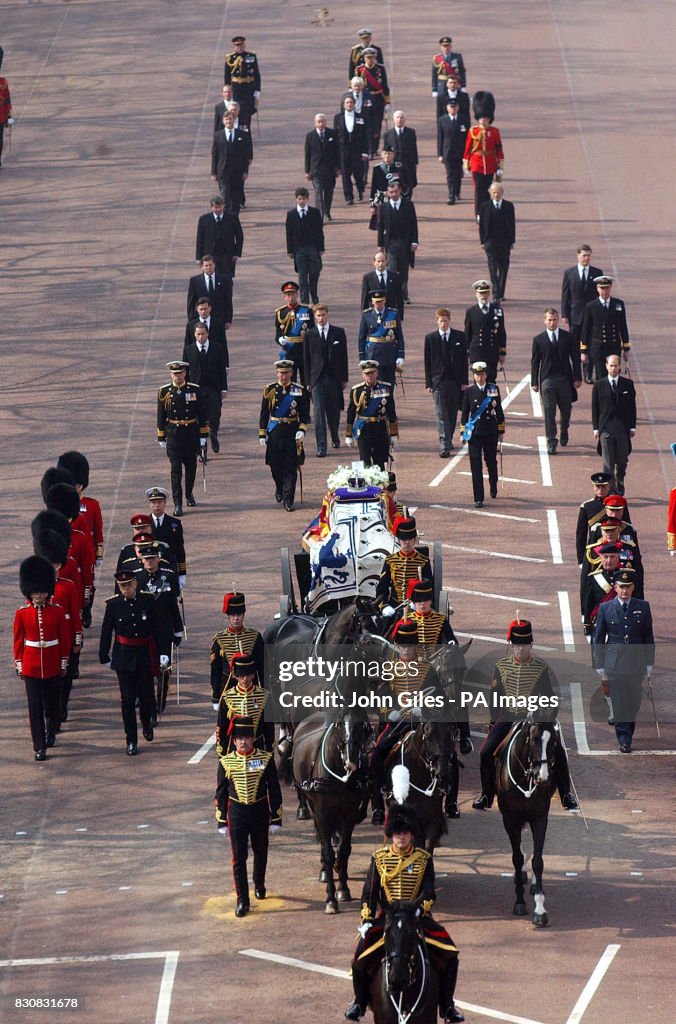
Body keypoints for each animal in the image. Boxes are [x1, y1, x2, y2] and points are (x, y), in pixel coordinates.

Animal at [292, 708, 372, 917]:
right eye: (339, 724)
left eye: (361, 723)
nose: (351, 761)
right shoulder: (321, 811)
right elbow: (328, 852)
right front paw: (330, 899)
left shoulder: (350, 812)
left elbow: (344, 850)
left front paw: (343, 889)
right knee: (322, 840)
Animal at [493, 716, 557, 925]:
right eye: (534, 739)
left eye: (554, 741)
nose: (542, 778)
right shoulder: (510, 819)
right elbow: (517, 858)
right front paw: (520, 902)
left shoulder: (540, 818)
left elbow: (538, 860)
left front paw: (540, 909)